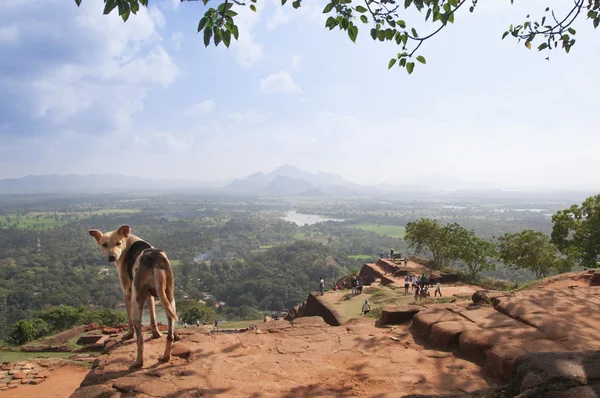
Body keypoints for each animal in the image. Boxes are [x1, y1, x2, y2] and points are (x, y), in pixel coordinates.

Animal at [88, 225, 178, 368]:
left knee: (139, 338)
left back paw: (138, 362)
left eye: (118, 243)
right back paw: (165, 356)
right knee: (170, 334)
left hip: (136, 300)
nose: (112, 257)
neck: (127, 241)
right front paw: (156, 333)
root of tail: (153, 258)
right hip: (169, 298)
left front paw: (128, 334)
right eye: (104, 244)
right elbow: (152, 314)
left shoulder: (127, 292)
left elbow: (128, 318)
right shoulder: (150, 295)